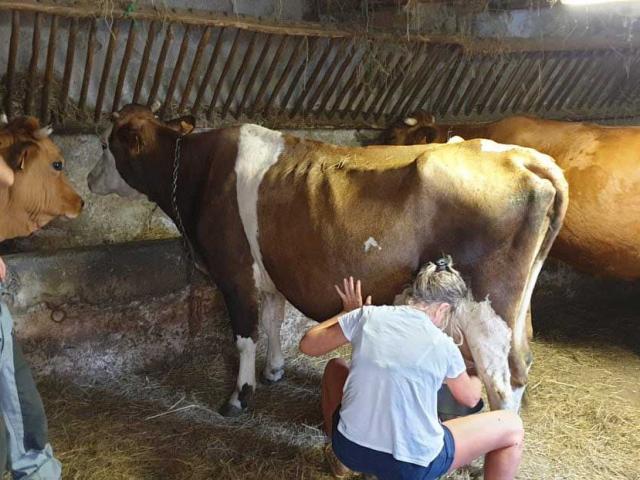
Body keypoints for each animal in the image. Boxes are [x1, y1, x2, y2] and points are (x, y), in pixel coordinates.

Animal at [87, 105, 568, 416]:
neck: (196, 171)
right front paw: (274, 370)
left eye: (108, 146)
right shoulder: (269, 271)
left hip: (487, 308)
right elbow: (273, 320)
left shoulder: (234, 274)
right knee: (521, 362)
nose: (89, 180)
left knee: (503, 381)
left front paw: (239, 397)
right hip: (517, 308)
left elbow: (244, 336)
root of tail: (521, 156)